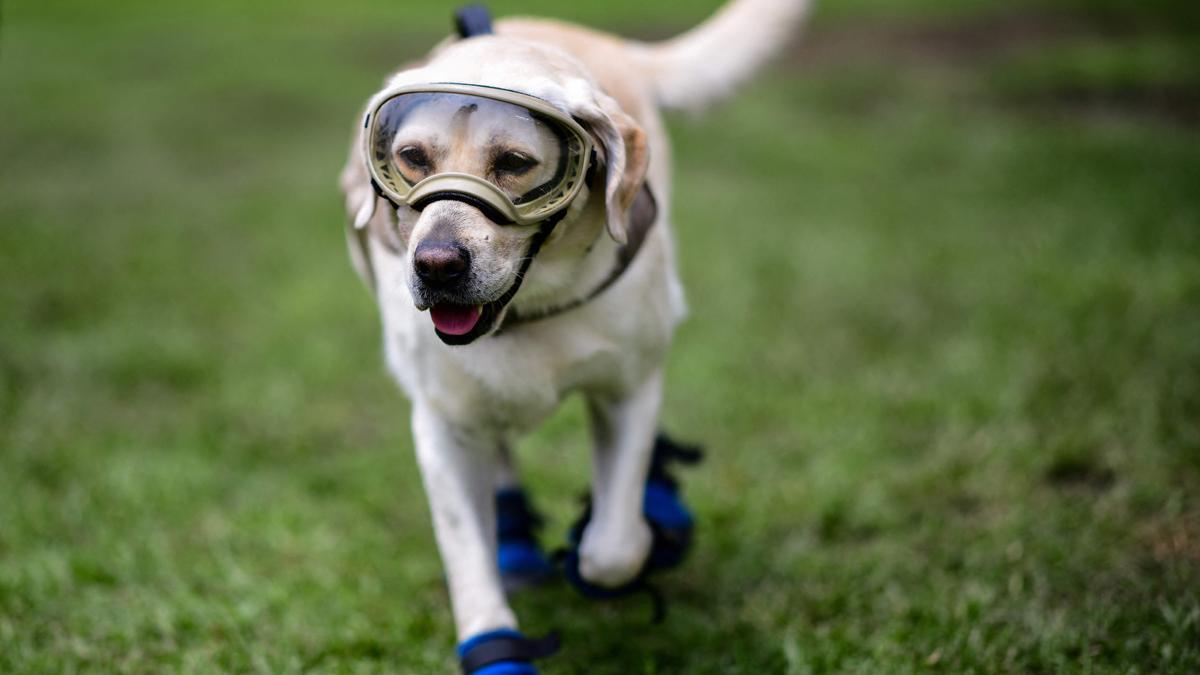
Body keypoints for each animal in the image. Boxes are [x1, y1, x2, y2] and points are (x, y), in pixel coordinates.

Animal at [336, 0, 806, 667]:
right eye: (412, 158)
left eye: (514, 163)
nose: (436, 265)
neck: (528, 310)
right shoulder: (443, 425)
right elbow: (467, 559)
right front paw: (495, 642)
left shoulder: (628, 389)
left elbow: (612, 548)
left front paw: (612, 552)